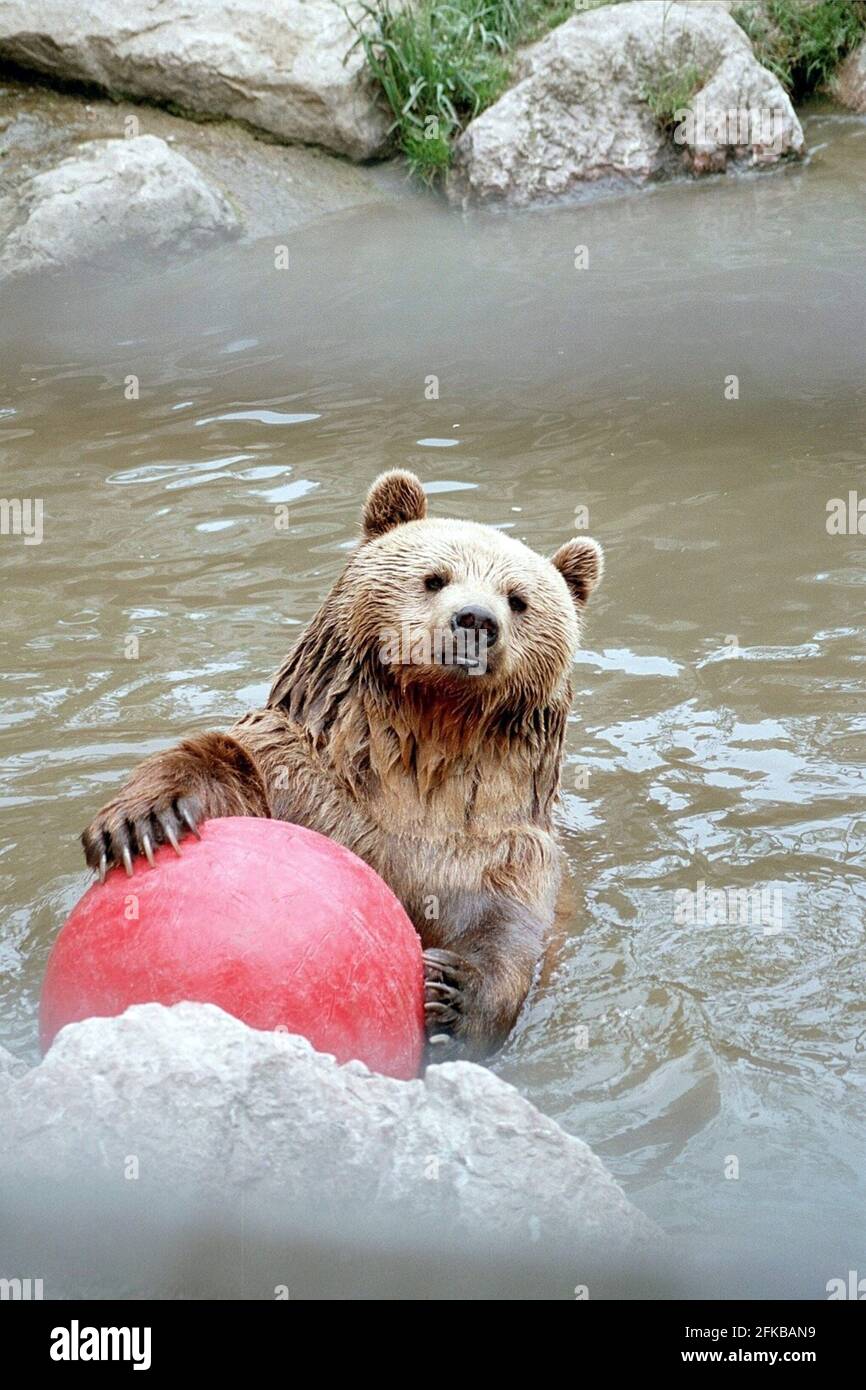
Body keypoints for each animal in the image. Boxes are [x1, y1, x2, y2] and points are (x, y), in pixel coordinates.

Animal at [81, 471, 603, 1056]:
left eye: (518, 599)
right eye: (434, 578)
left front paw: (453, 994)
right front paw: (144, 821)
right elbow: (227, 765)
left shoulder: (499, 850)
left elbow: (508, 928)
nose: (475, 620)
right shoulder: (301, 779)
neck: (427, 749)